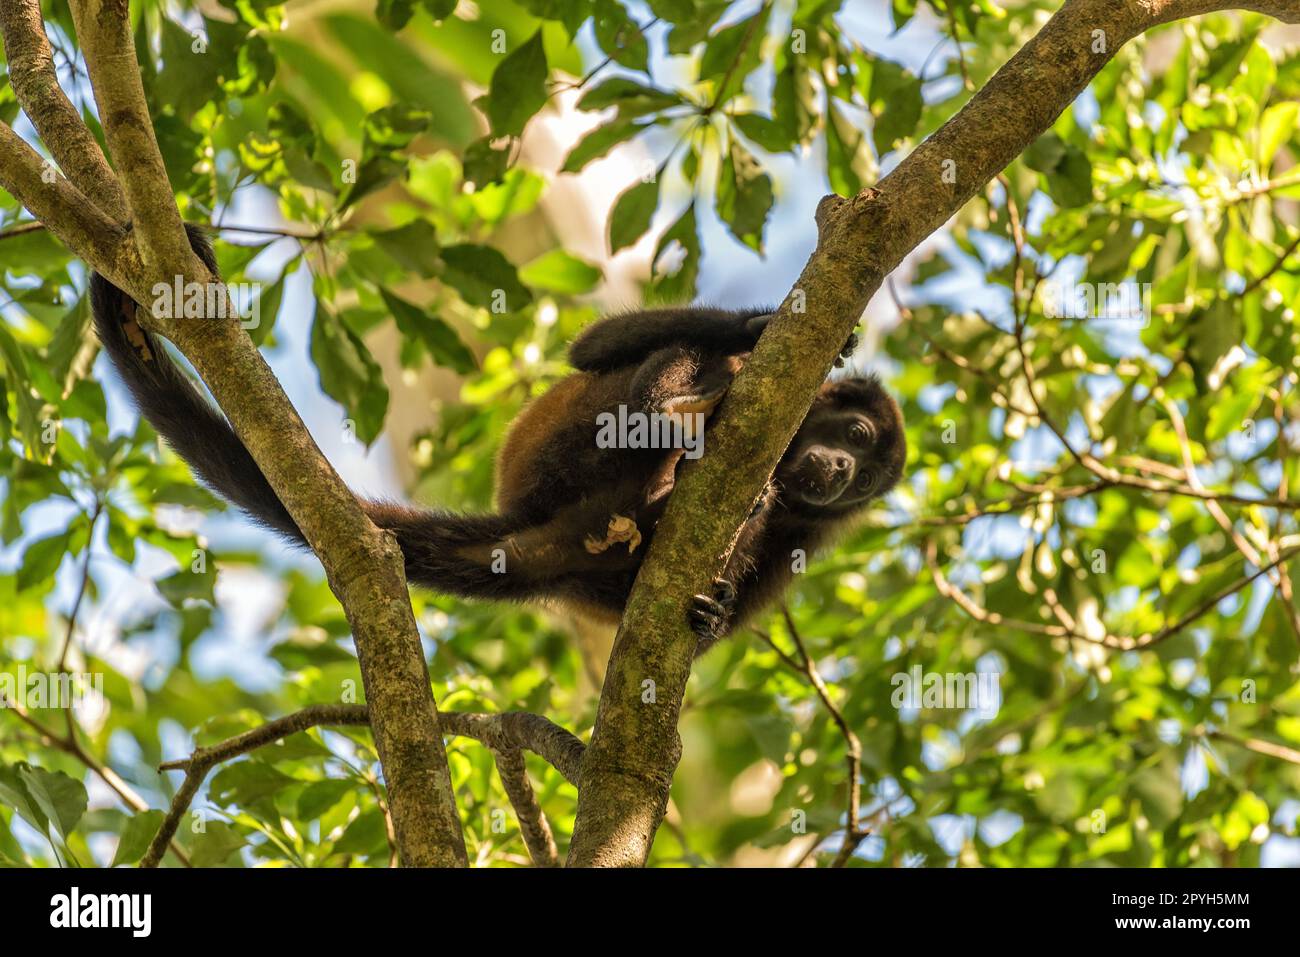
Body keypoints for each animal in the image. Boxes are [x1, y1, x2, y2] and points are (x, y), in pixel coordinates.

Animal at [91, 227, 904, 655]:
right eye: (854, 435)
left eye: (866, 479)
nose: (838, 469)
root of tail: (538, 521)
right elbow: (594, 346)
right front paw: (759, 323)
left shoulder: (815, 527)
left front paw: (712, 615)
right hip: (558, 443)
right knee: (661, 365)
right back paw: (669, 417)